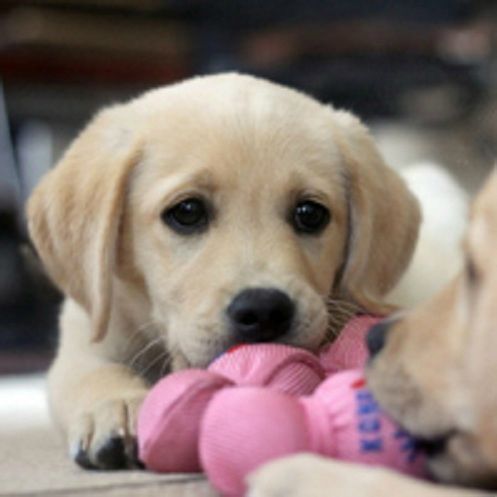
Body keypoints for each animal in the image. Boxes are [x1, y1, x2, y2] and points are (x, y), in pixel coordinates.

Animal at [27, 73, 420, 470]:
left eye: (310, 214)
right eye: (187, 211)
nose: (264, 311)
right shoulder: (84, 339)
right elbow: (94, 373)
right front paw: (117, 407)